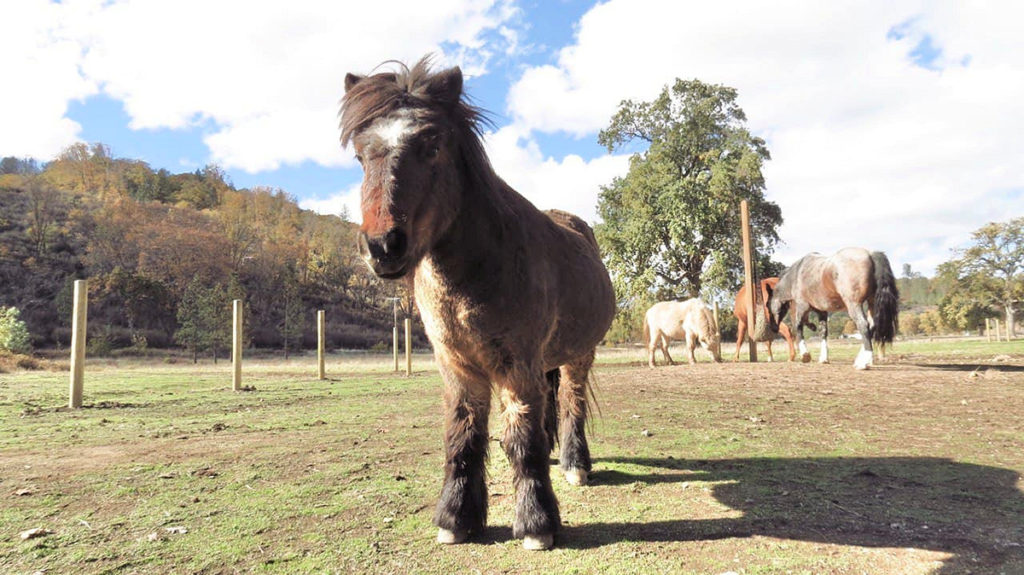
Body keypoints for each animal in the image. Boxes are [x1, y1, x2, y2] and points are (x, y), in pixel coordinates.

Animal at [342, 59, 614, 552]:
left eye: (432, 145)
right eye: (359, 155)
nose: (382, 246)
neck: (474, 271)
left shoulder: (516, 365)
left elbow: (521, 438)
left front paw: (536, 523)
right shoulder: (458, 366)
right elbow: (463, 435)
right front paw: (455, 518)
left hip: (578, 355)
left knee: (571, 402)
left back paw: (573, 464)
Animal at [765, 246, 901, 366]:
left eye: (768, 305)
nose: (773, 328)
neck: (797, 274)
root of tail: (870, 254)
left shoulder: (802, 306)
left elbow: (798, 326)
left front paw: (805, 355)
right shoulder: (822, 311)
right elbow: (823, 332)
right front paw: (823, 358)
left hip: (854, 305)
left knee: (863, 325)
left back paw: (863, 363)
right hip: (871, 304)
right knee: (871, 326)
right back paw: (862, 359)